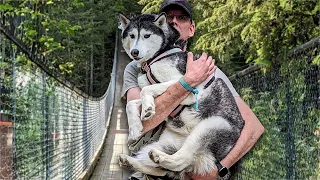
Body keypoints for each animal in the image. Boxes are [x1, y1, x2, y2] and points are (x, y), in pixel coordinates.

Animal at [119, 13, 244, 180]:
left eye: (147, 35)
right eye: (132, 36)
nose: (134, 52)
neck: (157, 57)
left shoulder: (188, 88)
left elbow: (146, 89)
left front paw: (146, 109)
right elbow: (131, 103)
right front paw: (135, 128)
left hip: (211, 125)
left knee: (181, 160)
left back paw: (160, 157)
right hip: (166, 141)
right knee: (163, 170)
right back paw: (131, 161)